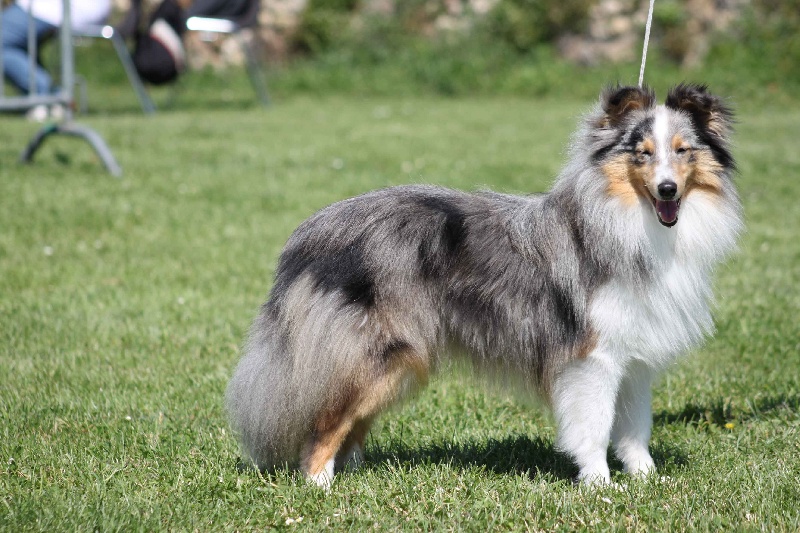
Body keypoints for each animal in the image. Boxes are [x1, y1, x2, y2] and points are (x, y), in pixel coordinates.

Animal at [225, 84, 744, 486]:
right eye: (643, 153)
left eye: (683, 150)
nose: (667, 190)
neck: (630, 221)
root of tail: (310, 231)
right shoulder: (591, 358)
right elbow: (594, 427)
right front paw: (600, 486)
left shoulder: (633, 359)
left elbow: (635, 428)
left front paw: (647, 480)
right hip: (373, 353)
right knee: (324, 424)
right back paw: (319, 487)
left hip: (393, 361)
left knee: (349, 424)